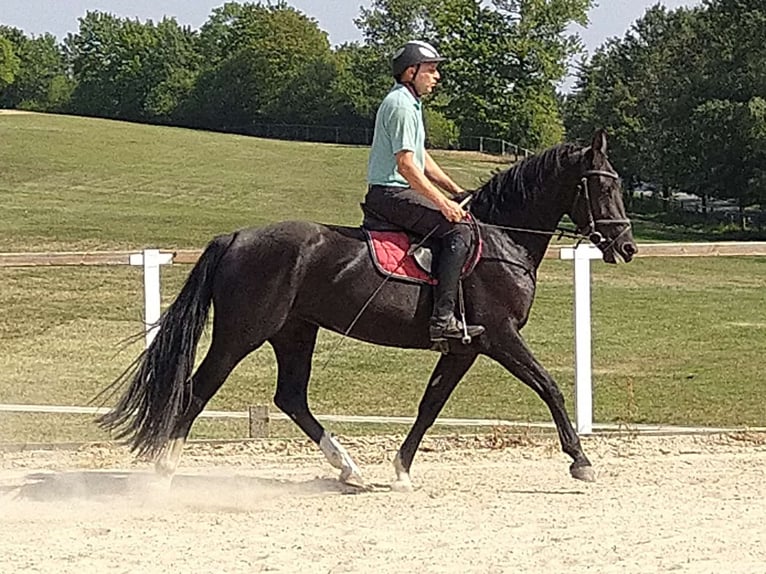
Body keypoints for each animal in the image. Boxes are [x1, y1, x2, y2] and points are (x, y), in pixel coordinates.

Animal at [103, 129, 640, 490]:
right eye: (603, 186)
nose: (628, 247)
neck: (502, 238)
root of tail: (235, 237)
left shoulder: (464, 349)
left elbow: (430, 404)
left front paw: (401, 469)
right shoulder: (500, 337)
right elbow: (550, 387)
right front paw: (580, 460)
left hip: (295, 332)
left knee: (291, 397)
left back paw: (349, 470)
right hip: (242, 335)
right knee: (197, 390)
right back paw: (165, 471)